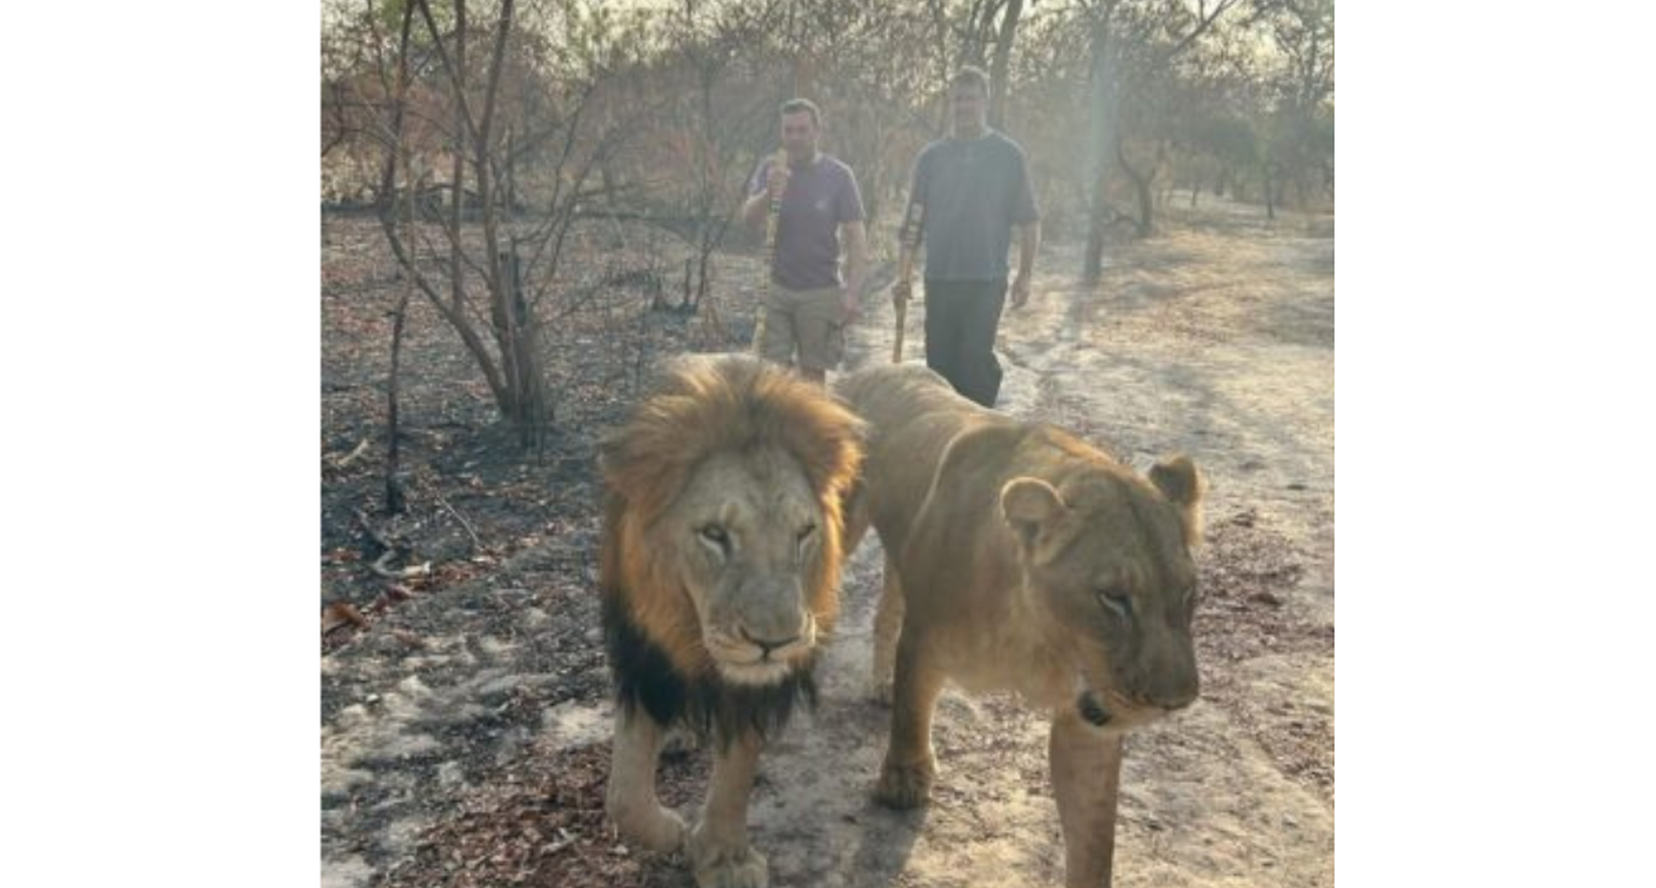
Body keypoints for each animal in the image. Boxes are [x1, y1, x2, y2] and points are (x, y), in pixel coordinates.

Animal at [597, 354, 864, 888]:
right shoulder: (644, 661)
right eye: (714, 534)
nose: (775, 642)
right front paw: (673, 833)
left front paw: (723, 858)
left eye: (804, 532)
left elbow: (737, 774)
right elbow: (624, 799)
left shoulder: (756, 686)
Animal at [837, 364, 1203, 888]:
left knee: (887, 609)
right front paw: (903, 781)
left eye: (1188, 593)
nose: (1174, 702)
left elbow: (1094, 837)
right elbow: (912, 711)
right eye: (1113, 598)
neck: (1039, 639)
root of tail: (878, 367)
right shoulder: (924, 642)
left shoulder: (1086, 724)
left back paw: (881, 684)